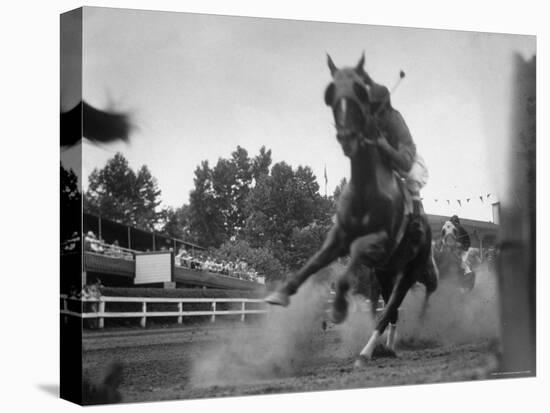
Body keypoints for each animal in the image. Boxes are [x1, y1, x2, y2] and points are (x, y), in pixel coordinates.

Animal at [268, 54, 440, 364]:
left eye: (360, 92)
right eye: (330, 93)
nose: (347, 137)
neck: (366, 189)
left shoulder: (379, 243)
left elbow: (352, 261)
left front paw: (338, 307)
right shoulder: (340, 234)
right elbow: (316, 259)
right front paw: (282, 292)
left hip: (410, 270)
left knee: (390, 308)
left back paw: (367, 351)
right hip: (386, 272)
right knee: (392, 311)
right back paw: (388, 347)